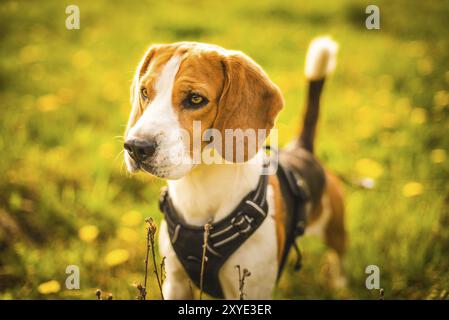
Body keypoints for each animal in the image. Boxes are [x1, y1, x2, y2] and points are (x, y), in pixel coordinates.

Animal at [124, 38, 344, 298]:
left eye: (195, 99)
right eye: (144, 92)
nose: (136, 147)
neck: (199, 188)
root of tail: (301, 149)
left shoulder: (251, 289)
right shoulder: (175, 283)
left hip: (335, 228)